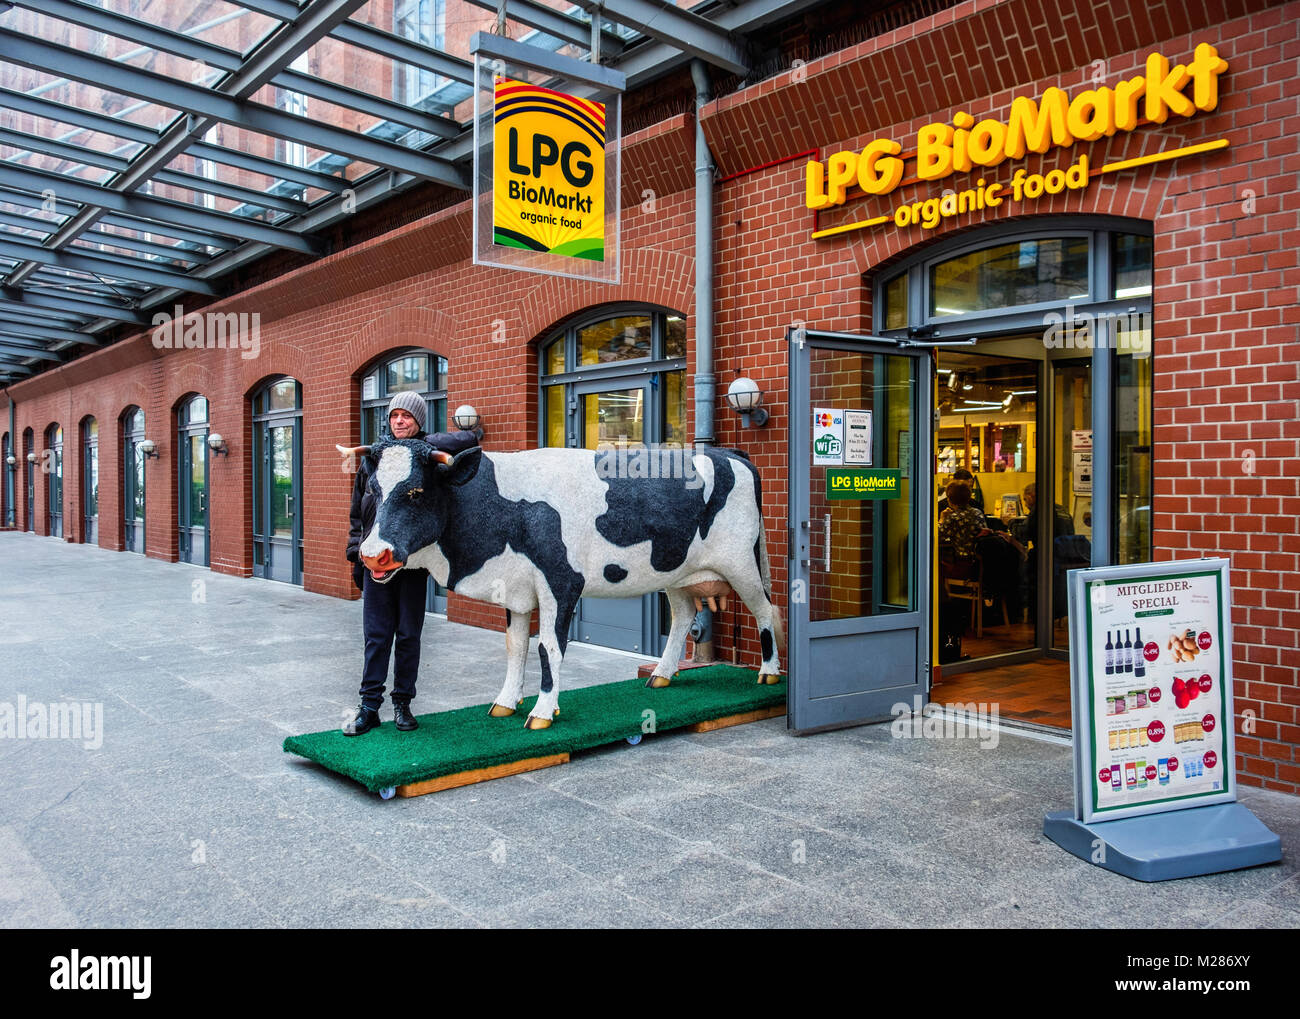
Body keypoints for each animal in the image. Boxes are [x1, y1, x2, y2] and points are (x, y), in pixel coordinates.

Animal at [351, 441, 780, 727]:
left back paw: (769, 672)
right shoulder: (516, 589)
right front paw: (506, 702)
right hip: (674, 571)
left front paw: (542, 711)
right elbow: (515, 647)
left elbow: (548, 647)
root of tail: (732, 455)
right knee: (683, 614)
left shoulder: (561, 582)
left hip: (743, 563)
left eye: (416, 492)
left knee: (766, 610)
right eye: (373, 490)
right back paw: (661, 674)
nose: (372, 555)